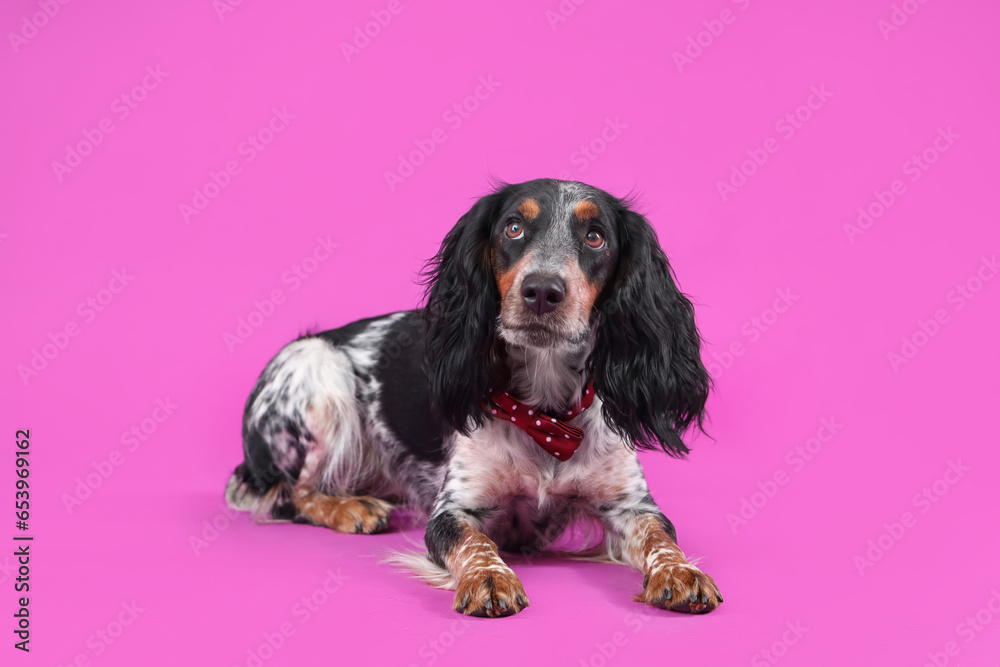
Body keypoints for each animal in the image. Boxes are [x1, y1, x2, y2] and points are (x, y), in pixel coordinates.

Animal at [225, 177, 720, 616]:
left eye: (595, 237)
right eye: (513, 228)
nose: (542, 291)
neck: (545, 415)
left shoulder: (632, 505)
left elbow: (662, 539)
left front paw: (681, 572)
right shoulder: (454, 509)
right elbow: (476, 543)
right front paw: (489, 578)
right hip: (317, 368)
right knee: (288, 494)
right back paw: (351, 508)